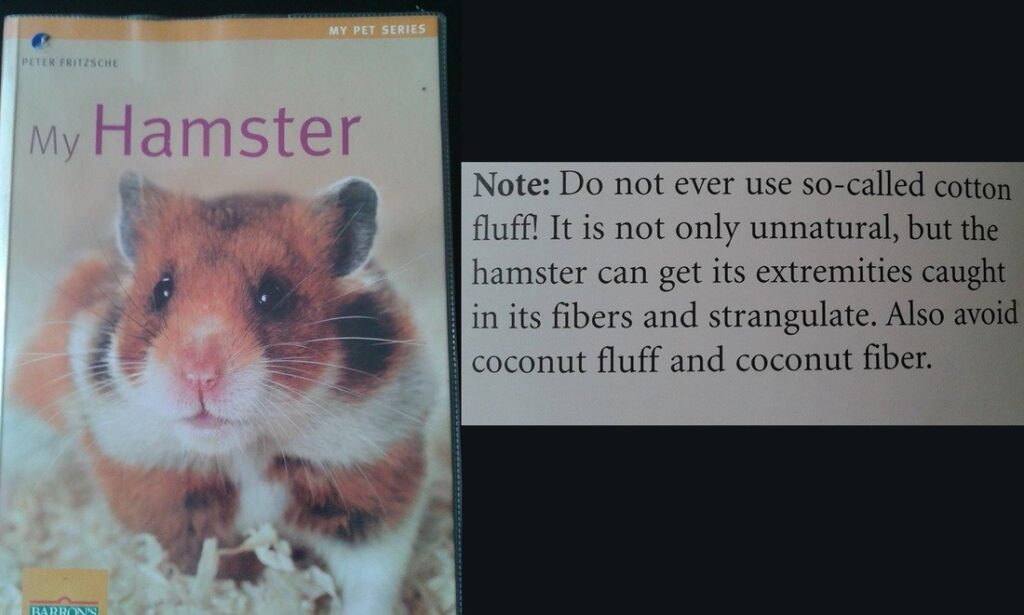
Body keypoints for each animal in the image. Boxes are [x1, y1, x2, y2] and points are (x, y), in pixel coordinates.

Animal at [5, 171, 437, 614]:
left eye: (273, 294)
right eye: (161, 290)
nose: (199, 376)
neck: (245, 449)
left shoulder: (372, 498)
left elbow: (372, 581)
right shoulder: (166, 507)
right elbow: (199, 571)